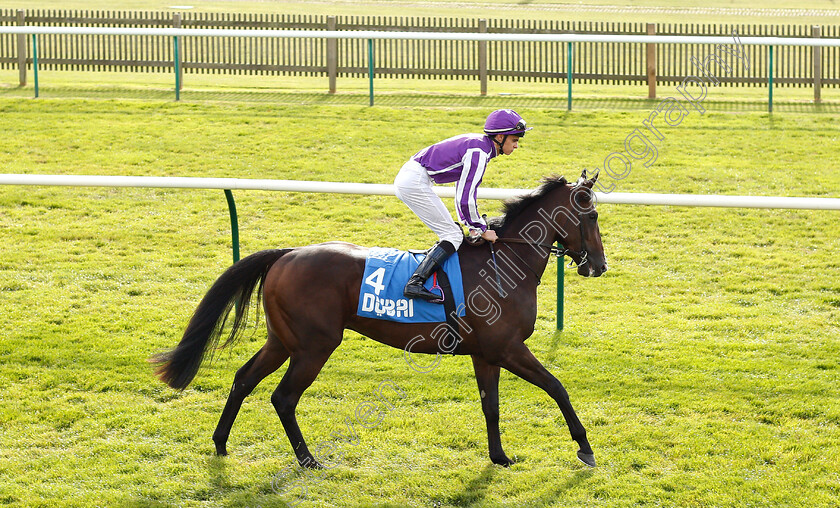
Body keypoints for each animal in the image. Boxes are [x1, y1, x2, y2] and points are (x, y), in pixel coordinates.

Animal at [151, 173, 608, 470]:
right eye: (591, 217)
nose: (599, 266)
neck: (505, 262)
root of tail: (287, 253)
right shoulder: (508, 348)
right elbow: (557, 387)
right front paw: (585, 448)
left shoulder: (486, 353)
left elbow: (491, 406)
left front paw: (498, 457)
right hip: (315, 345)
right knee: (283, 397)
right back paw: (307, 459)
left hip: (282, 340)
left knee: (244, 379)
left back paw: (221, 443)